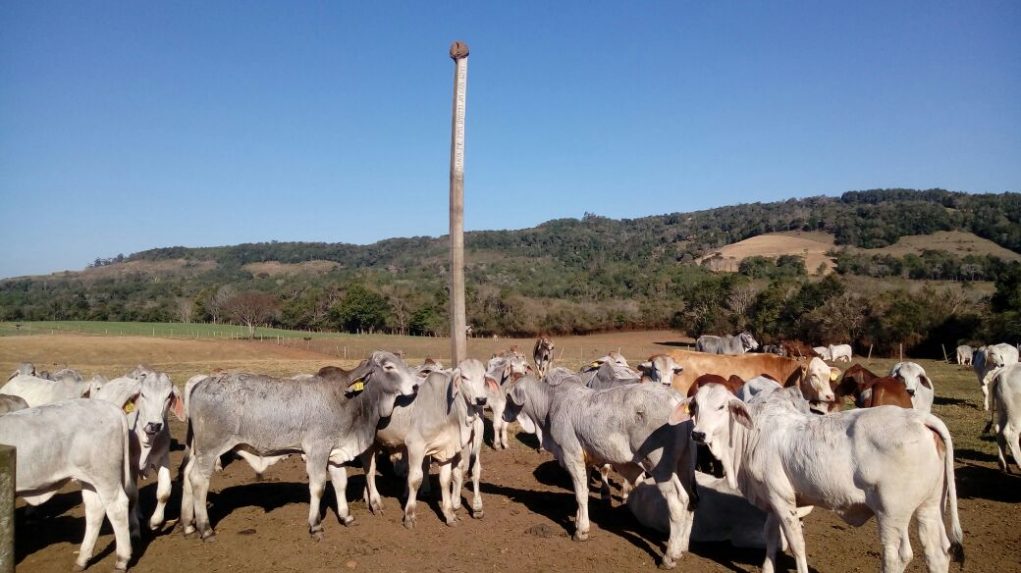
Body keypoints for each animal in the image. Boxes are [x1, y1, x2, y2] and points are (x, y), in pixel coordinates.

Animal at [0, 400, 138, 567]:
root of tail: (112, 408)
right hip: (89, 478)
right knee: (95, 509)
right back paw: (82, 559)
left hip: (105, 476)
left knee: (117, 508)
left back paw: (122, 560)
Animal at [183, 349, 418, 539]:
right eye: (388, 366)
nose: (415, 386)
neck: (351, 400)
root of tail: (201, 383)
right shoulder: (317, 451)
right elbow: (318, 487)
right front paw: (316, 526)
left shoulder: (336, 453)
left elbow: (340, 483)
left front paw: (346, 517)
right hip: (210, 449)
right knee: (199, 480)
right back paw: (205, 529)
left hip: (198, 449)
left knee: (186, 474)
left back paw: (188, 525)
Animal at [686, 384, 963, 571]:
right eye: (696, 406)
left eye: (721, 407)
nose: (698, 434)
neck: (752, 434)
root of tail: (919, 417)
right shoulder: (772, 499)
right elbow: (770, 537)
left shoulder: (783, 500)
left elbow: (796, 543)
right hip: (929, 506)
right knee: (937, 553)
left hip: (891, 512)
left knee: (897, 556)